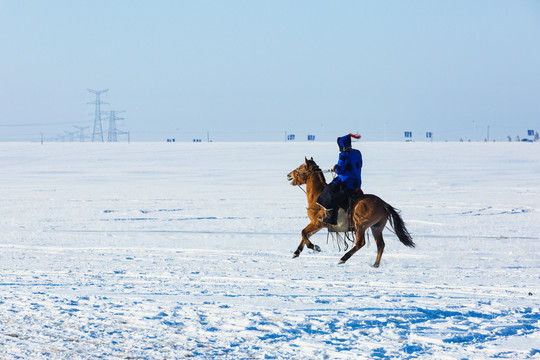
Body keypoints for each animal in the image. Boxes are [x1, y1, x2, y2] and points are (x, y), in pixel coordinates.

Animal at [284, 158, 416, 268]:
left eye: (300, 168)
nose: (288, 175)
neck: (317, 196)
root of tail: (383, 203)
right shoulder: (317, 224)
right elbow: (306, 234)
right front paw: (297, 252)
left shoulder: (318, 223)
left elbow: (303, 232)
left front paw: (315, 247)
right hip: (376, 227)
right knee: (380, 245)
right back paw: (375, 265)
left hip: (360, 225)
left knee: (361, 243)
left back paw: (343, 258)